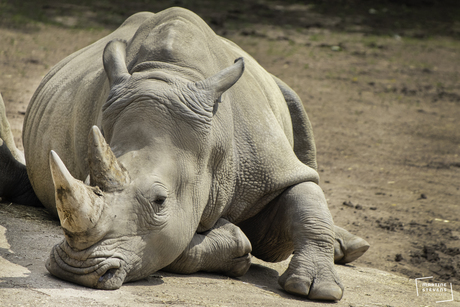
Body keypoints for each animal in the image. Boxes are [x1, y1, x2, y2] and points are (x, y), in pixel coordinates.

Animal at [0, 6, 368, 300]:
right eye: (88, 180)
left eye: (160, 201)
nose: (75, 269)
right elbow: (173, 245)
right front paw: (235, 243)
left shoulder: (270, 166)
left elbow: (305, 198)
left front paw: (317, 290)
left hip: (277, 86)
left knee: (297, 112)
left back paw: (348, 248)